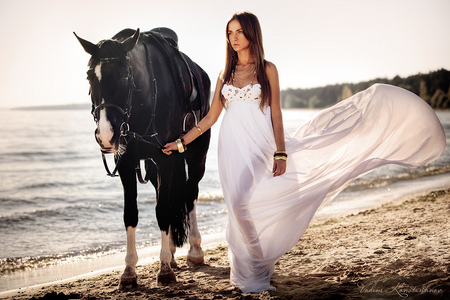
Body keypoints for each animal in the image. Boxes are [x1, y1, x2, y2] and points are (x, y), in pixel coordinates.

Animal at [75, 28, 211, 286]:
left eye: (124, 76)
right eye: (89, 77)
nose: (106, 135)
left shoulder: (167, 159)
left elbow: (163, 211)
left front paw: (164, 269)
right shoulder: (127, 163)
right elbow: (131, 214)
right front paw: (129, 270)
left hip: (197, 153)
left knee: (190, 194)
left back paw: (195, 250)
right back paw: (173, 253)